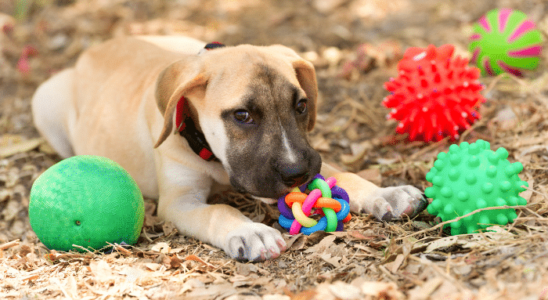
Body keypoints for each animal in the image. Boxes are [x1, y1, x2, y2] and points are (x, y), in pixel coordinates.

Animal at [31, 36, 428, 262]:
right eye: (242, 116)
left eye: (301, 105)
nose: (296, 173)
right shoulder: (179, 202)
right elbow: (218, 211)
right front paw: (251, 232)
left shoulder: (314, 159)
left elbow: (345, 174)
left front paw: (386, 193)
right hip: (44, 100)